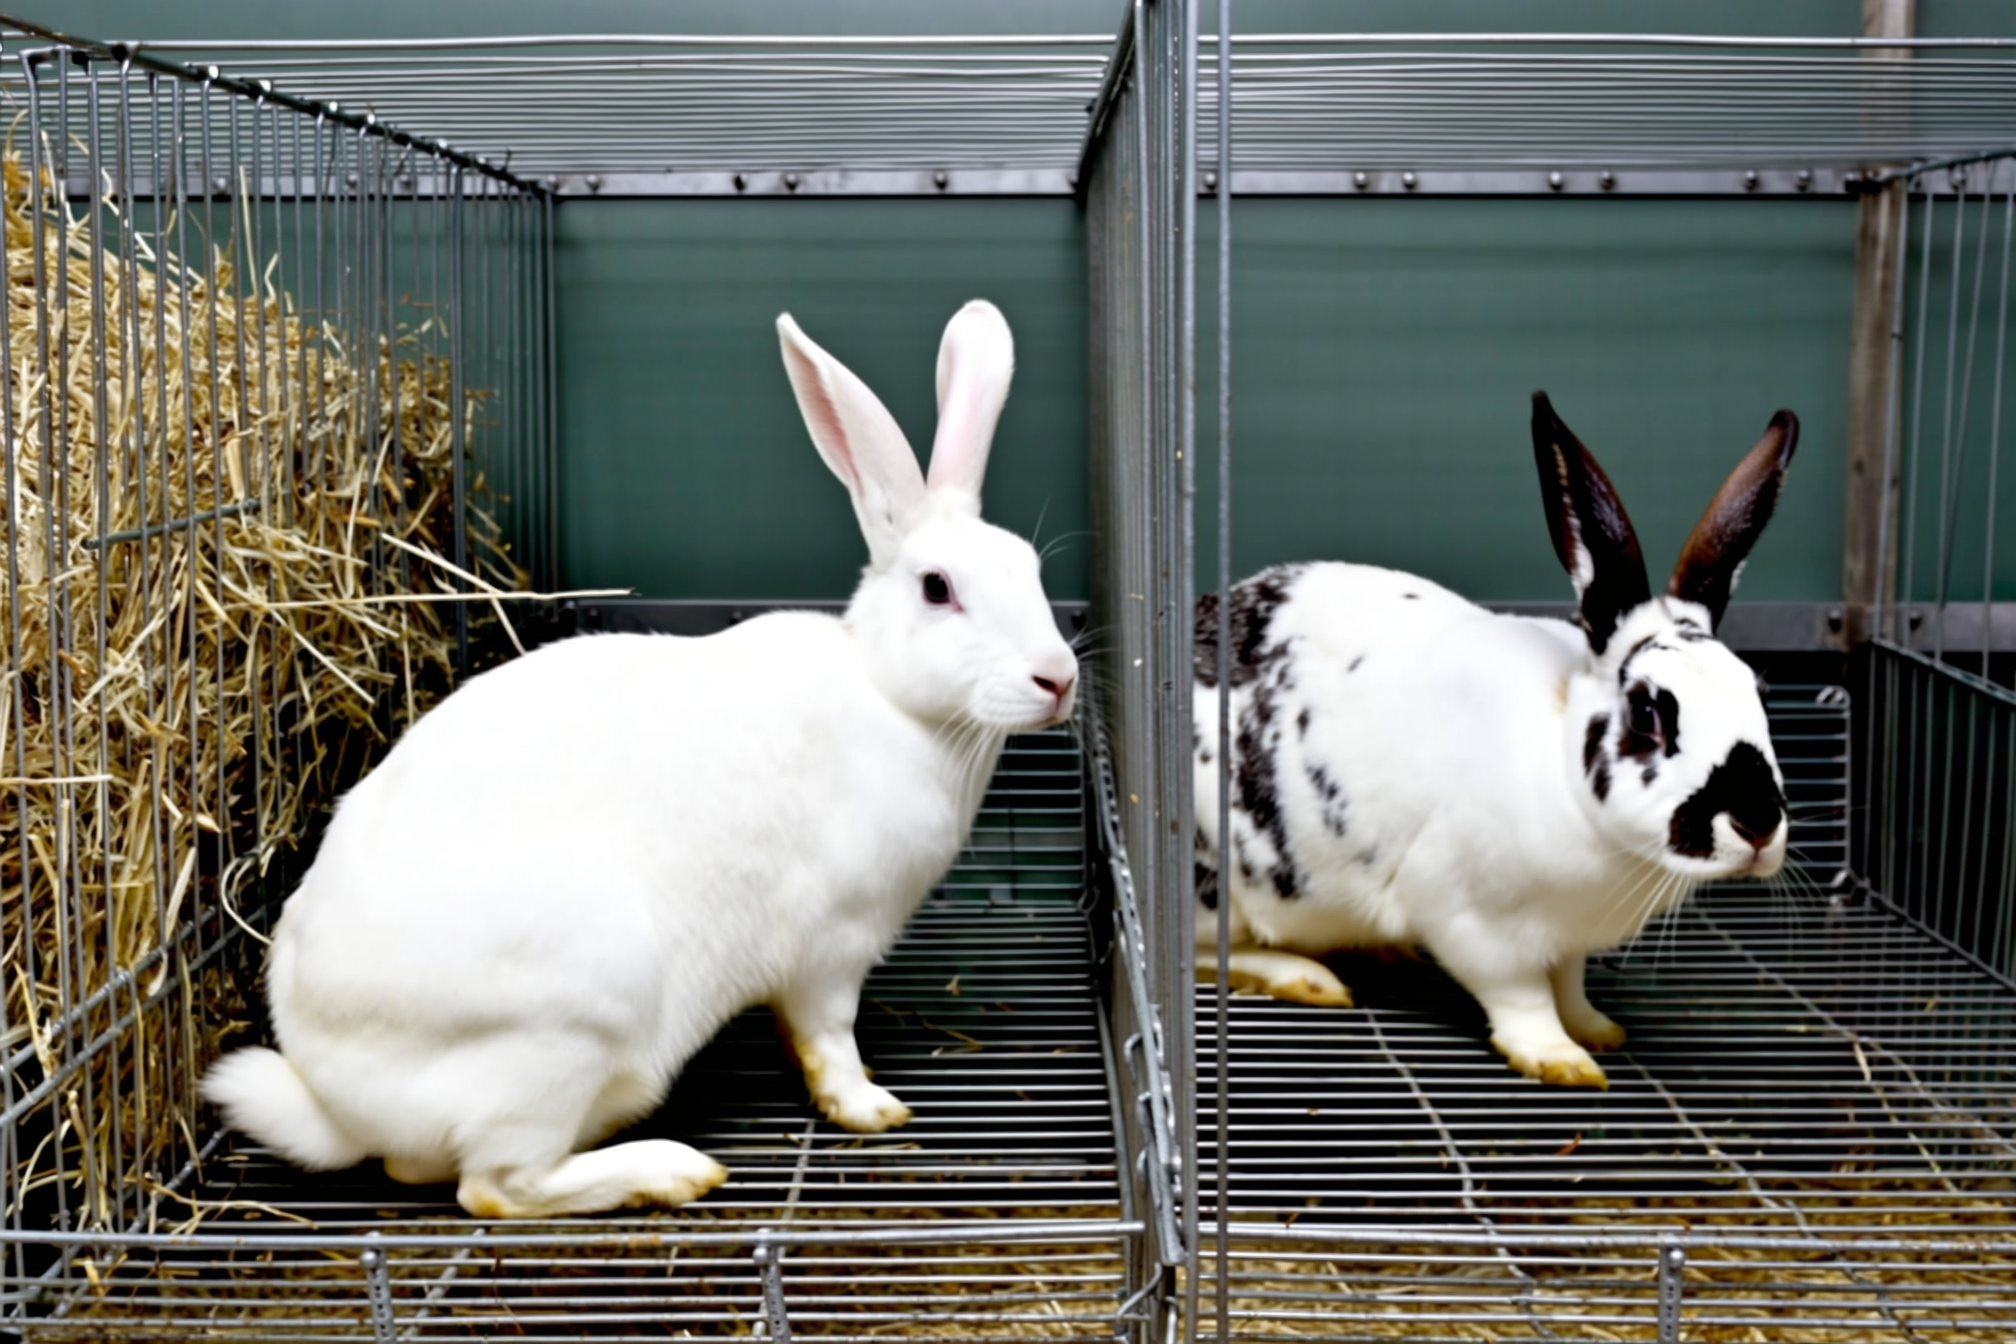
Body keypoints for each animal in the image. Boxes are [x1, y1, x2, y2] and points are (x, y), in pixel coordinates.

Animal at [203, 299, 1079, 1217]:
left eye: (1030, 567)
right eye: (938, 588)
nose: (1058, 678)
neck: (887, 693)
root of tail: (335, 1099)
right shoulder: (831, 948)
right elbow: (828, 1038)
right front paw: (871, 1107)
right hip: (576, 1023)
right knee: (496, 1188)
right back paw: (671, 1168)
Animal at [1191, 391, 1797, 1088]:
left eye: (1759, 692)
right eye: (1648, 711)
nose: (1758, 823)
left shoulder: (1567, 940)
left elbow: (1569, 986)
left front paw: (1597, 1029)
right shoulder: (1471, 922)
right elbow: (1522, 996)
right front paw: (1561, 1059)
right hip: (1218, 885)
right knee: (1211, 952)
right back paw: (1309, 979)